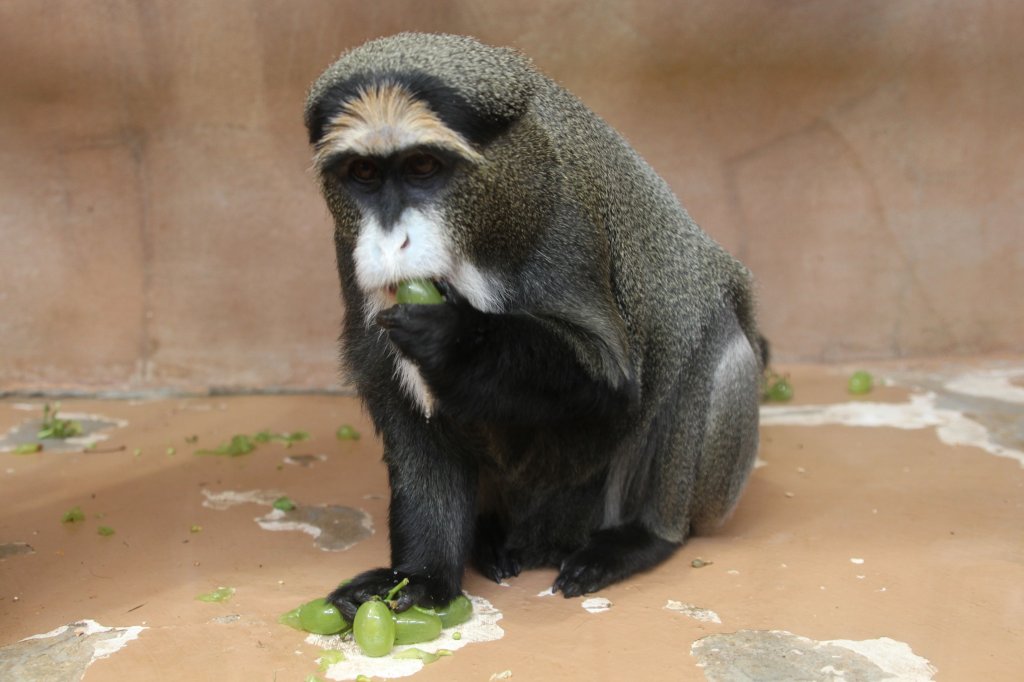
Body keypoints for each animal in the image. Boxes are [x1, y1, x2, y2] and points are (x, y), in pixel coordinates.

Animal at [303, 33, 770, 614]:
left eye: (422, 167)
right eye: (364, 173)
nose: (394, 243)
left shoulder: (564, 218)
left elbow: (610, 376)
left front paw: (456, 340)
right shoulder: (349, 255)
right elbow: (401, 402)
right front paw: (419, 579)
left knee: (719, 356)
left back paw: (638, 538)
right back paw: (489, 537)